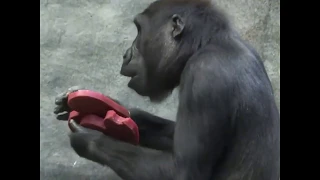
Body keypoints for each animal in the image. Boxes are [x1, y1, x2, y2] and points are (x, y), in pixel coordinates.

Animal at [53, 0, 278, 180]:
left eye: (139, 31)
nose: (126, 54)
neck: (205, 44)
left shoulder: (204, 79)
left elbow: (182, 172)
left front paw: (90, 139)